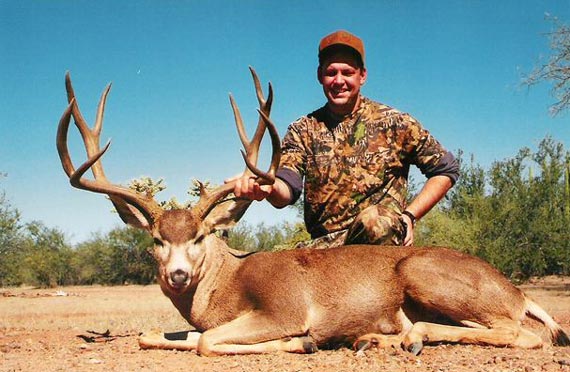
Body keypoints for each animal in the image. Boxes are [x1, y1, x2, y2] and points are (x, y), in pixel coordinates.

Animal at [55, 68, 564, 356]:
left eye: (200, 236)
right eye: (157, 240)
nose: (177, 275)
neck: (227, 286)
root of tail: (517, 291)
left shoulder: (283, 307)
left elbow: (208, 343)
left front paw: (302, 342)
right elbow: (152, 334)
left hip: (425, 274)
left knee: (526, 334)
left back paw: (408, 336)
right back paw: (374, 339)